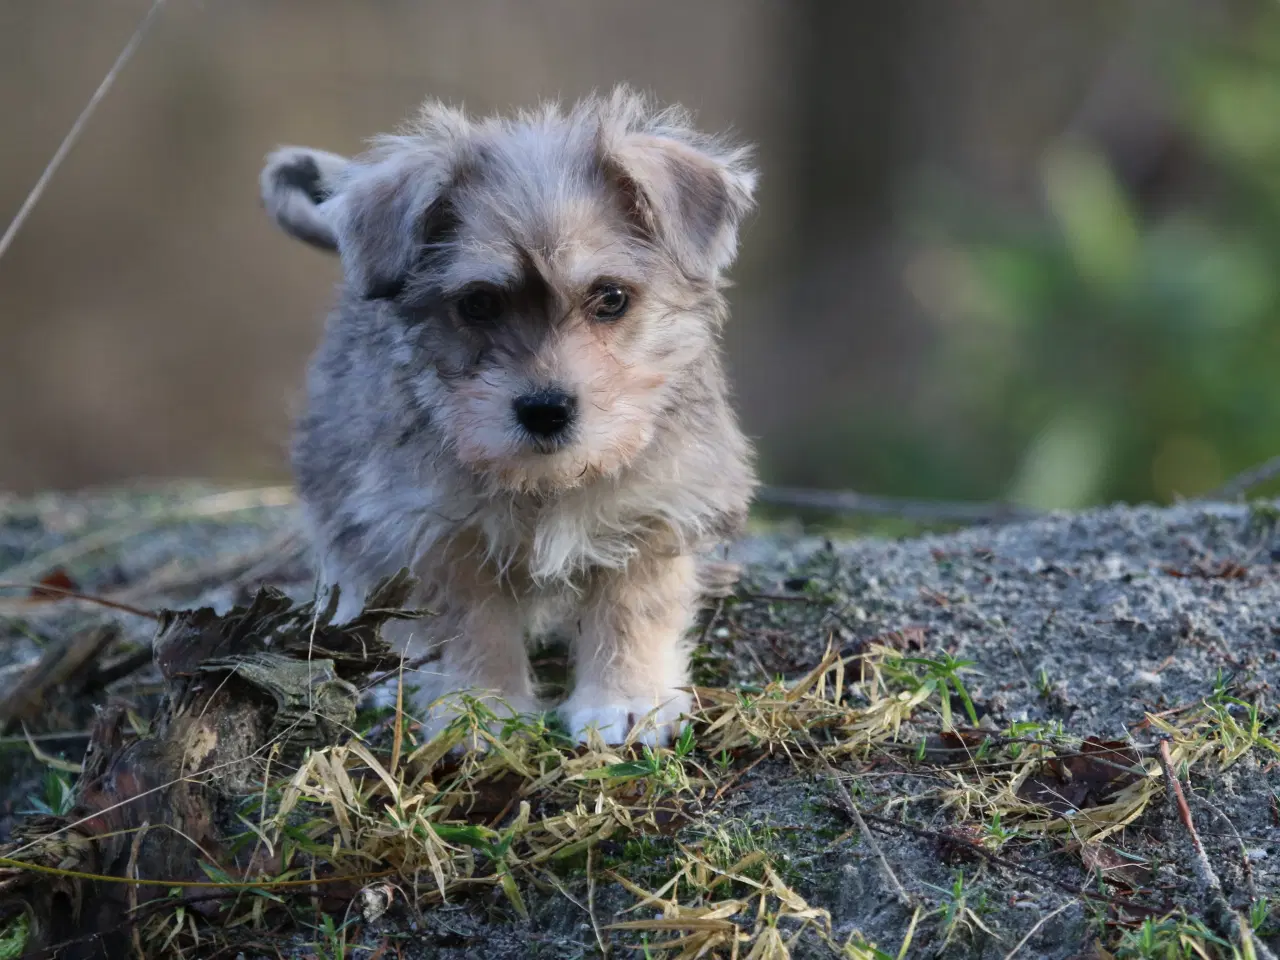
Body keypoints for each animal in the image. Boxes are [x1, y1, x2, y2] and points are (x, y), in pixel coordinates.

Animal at [263, 88, 752, 752]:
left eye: (611, 298)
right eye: (477, 304)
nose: (546, 410)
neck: (548, 487)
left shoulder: (652, 510)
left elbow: (632, 608)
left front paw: (625, 698)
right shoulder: (437, 531)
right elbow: (472, 626)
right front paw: (481, 709)